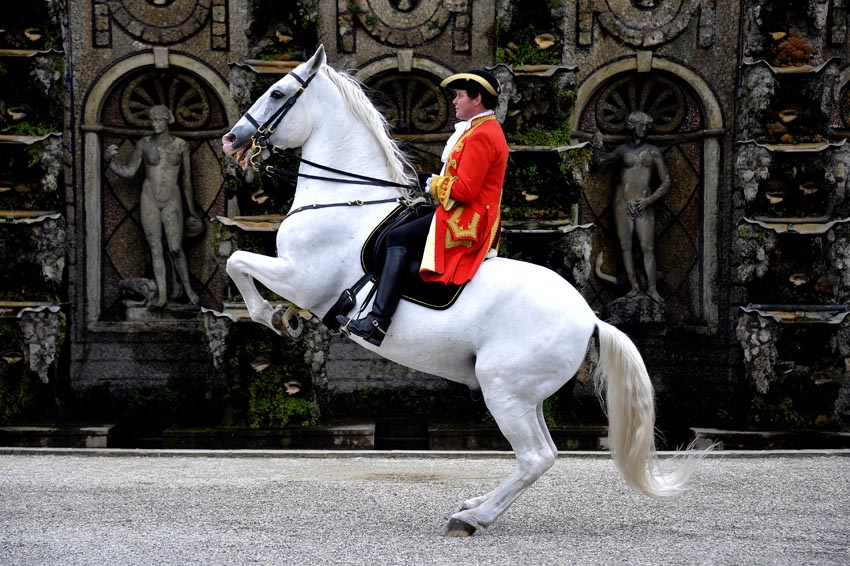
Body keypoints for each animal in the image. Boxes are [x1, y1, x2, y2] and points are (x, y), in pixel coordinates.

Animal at [221, 45, 700, 537]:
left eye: (278, 92)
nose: (231, 139)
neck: (346, 201)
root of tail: (590, 317)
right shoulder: (298, 278)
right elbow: (238, 263)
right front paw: (283, 317)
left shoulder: (302, 276)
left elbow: (236, 261)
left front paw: (275, 316)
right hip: (525, 396)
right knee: (542, 454)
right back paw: (476, 504)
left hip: (503, 389)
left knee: (535, 456)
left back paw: (471, 517)